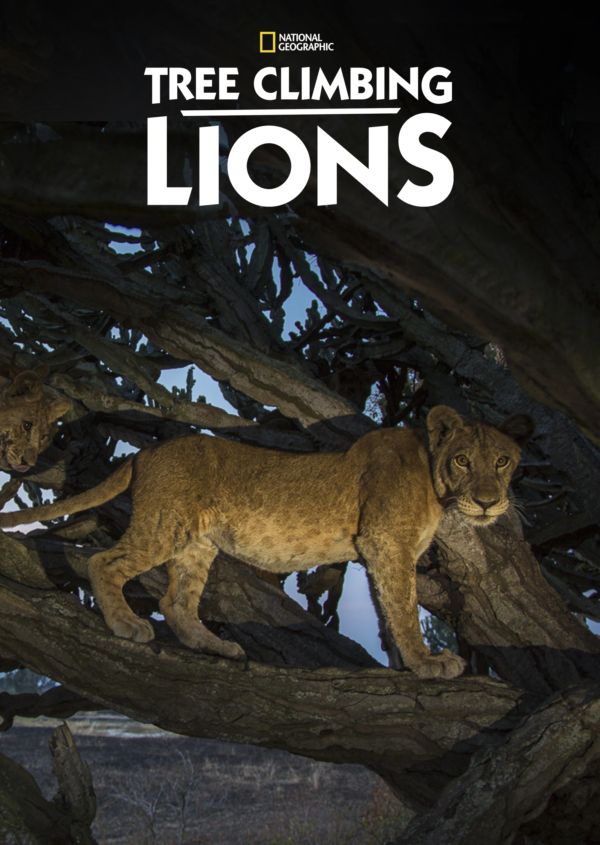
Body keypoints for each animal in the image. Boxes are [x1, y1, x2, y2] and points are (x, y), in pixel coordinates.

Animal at [0, 405, 532, 679]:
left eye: (502, 461)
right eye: (463, 460)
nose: (488, 502)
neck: (437, 483)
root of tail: (146, 452)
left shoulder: (380, 550)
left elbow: (388, 609)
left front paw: (405, 665)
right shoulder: (386, 541)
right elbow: (403, 608)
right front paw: (427, 663)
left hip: (197, 544)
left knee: (177, 601)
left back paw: (216, 646)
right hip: (164, 526)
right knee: (105, 563)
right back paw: (127, 626)